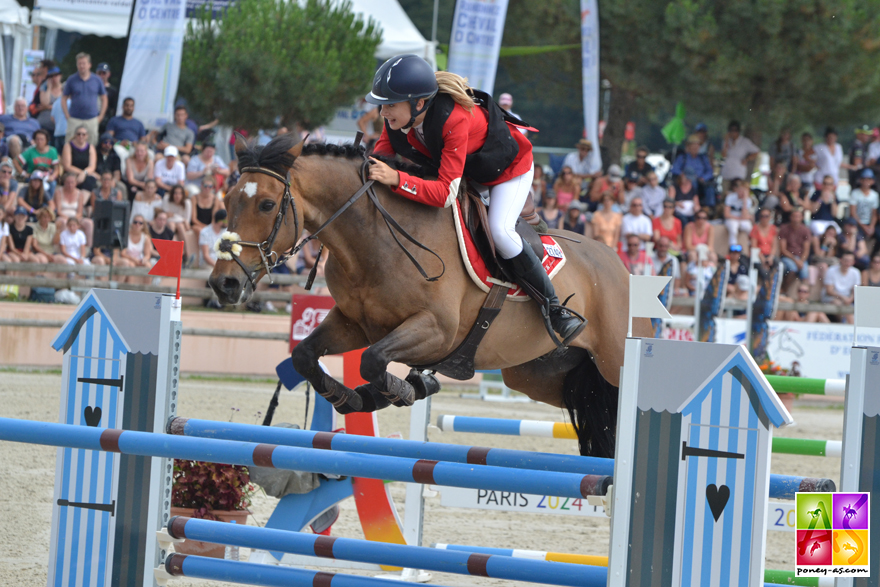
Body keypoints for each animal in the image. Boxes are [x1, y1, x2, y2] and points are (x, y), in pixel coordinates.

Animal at [210, 134, 648, 460]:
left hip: (612, 360)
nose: (223, 284)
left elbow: (373, 360)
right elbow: (307, 355)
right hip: (537, 375)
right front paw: (357, 396)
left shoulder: (436, 330)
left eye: (267, 204)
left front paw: (401, 390)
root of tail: (621, 266)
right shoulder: (355, 323)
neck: (374, 238)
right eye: (227, 201)